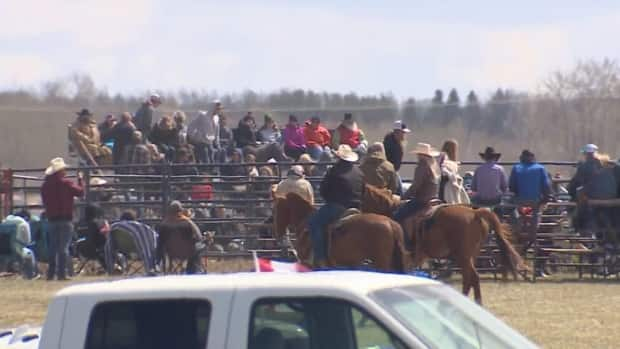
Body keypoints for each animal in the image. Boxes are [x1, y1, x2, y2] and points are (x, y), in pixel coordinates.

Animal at [360, 184, 524, 304]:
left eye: (363, 201)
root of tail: (475, 213)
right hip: (469, 255)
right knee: (469, 278)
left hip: (463, 256)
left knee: (472, 277)